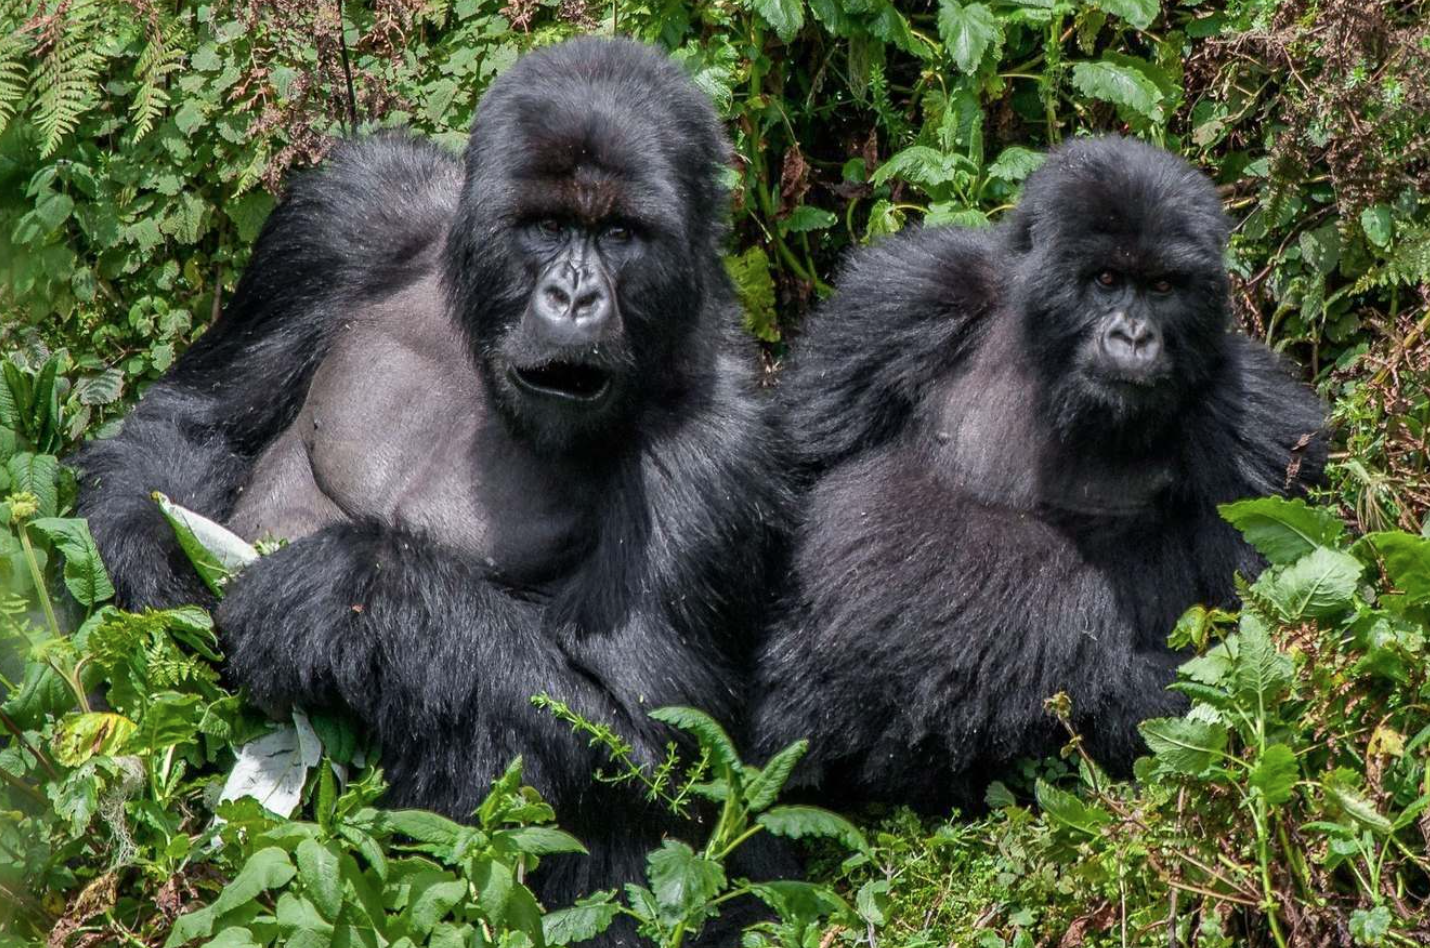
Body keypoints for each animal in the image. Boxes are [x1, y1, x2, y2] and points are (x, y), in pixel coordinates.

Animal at [76, 37, 789, 920]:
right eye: (548, 226)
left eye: (622, 234)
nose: (575, 295)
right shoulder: (348, 210)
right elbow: (189, 422)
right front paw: (166, 572)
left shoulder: (717, 449)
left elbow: (655, 756)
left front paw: (340, 593)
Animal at [755, 135, 1321, 817]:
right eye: (1106, 280)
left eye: (1163, 286)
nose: (1134, 336)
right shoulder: (912, 292)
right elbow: (804, 455)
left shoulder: (1254, 423)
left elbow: (1247, 632)